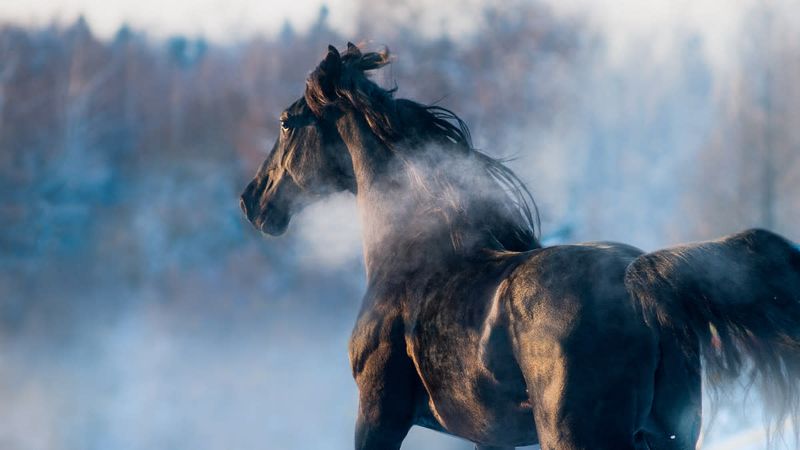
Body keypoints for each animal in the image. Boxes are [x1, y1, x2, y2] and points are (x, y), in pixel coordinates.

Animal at [239, 43, 800, 450]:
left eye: (286, 122)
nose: (252, 201)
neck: (411, 257)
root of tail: (637, 282)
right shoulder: (491, 436)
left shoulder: (378, 413)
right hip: (670, 437)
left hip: (577, 438)